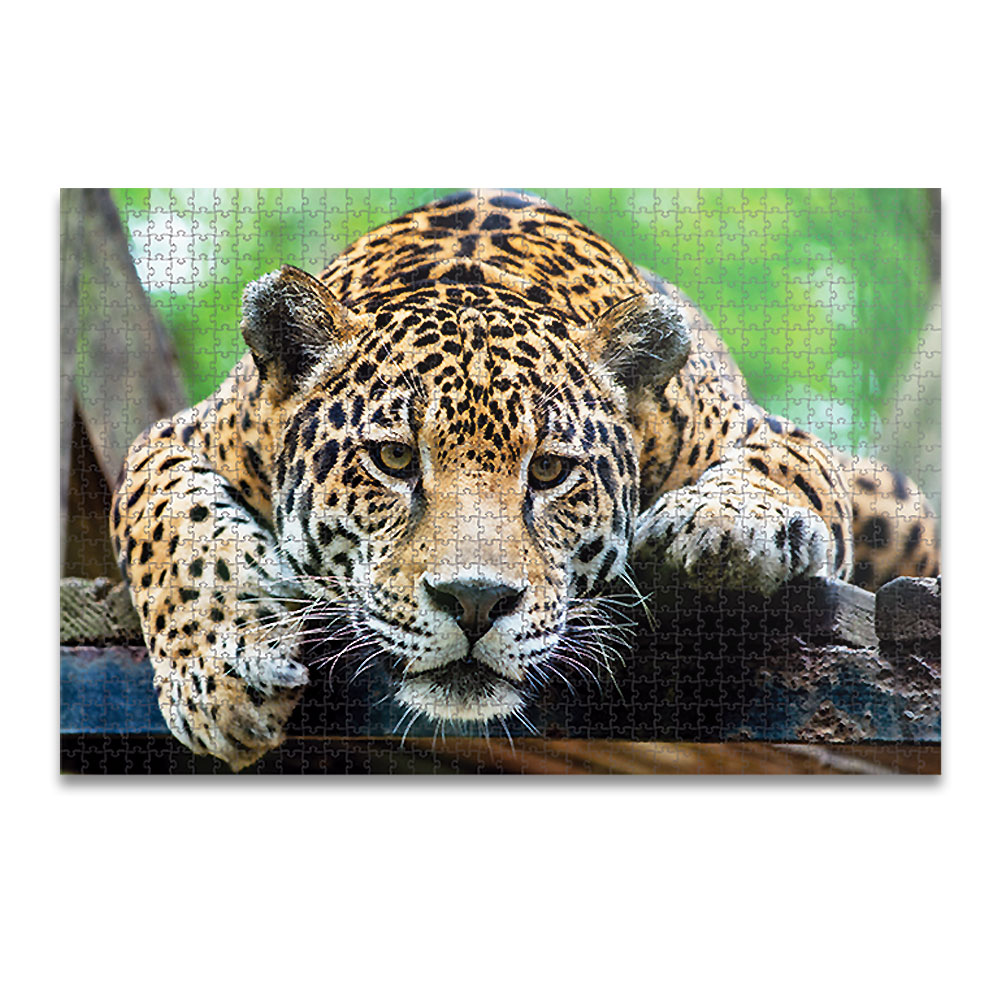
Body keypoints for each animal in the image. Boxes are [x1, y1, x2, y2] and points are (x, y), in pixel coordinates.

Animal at [110, 189, 940, 770]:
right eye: (395, 460)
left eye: (548, 471)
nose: (475, 603)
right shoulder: (180, 436)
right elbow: (168, 523)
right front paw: (220, 676)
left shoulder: (766, 430)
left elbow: (783, 467)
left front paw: (725, 525)